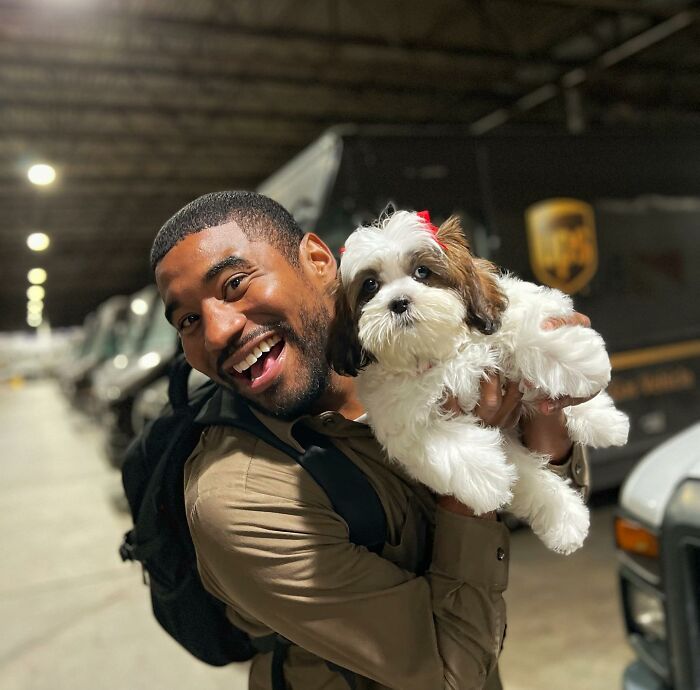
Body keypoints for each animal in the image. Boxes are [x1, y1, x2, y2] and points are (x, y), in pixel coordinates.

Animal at [328, 207, 628, 552]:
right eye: (370, 286)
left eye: (422, 272)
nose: (399, 302)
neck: (443, 353)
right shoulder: (403, 418)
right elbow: (445, 442)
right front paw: (488, 478)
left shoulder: (506, 320)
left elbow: (526, 335)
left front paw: (580, 363)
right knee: (529, 475)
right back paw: (565, 520)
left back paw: (605, 420)